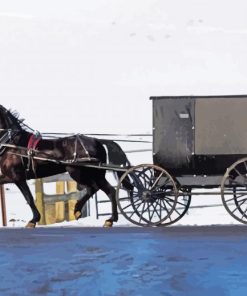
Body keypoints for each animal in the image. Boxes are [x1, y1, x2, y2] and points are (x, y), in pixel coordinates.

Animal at [0, 105, 128, 228]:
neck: (13, 146)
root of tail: (97, 141)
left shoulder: (17, 177)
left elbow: (29, 198)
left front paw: (33, 220)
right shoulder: (9, 177)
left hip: (78, 173)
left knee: (96, 188)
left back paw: (94, 215)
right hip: (96, 175)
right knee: (107, 190)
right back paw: (104, 218)